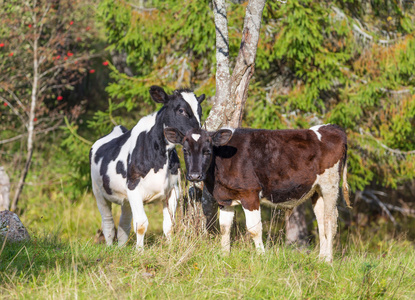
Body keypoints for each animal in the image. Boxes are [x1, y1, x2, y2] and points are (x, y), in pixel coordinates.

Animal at [92, 85, 206, 250]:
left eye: (200, 111)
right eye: (181, 110)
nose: (198, 135)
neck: (161, 157)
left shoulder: (173, 190)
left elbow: (169, 225)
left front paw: (170, 248)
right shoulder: (133, 187)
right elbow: (141, 224)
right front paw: (140, 251)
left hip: (125, 199)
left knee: (123, 224)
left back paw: (120, 248)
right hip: (99, 193)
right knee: (108, 224)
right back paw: (109, 248)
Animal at [165, 123, 352, 262]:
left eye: (207, 150)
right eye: (185, 150)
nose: (194, 175)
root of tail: (332, 128)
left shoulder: (250, 194)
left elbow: (254, 228)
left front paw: (261, 256)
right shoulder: (224, 198)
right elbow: (224, 227)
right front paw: (225, 255)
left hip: (330, 185)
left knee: (330, 220)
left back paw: (328, 260)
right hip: (316, 190)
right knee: (321, 220)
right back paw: (321, 258)